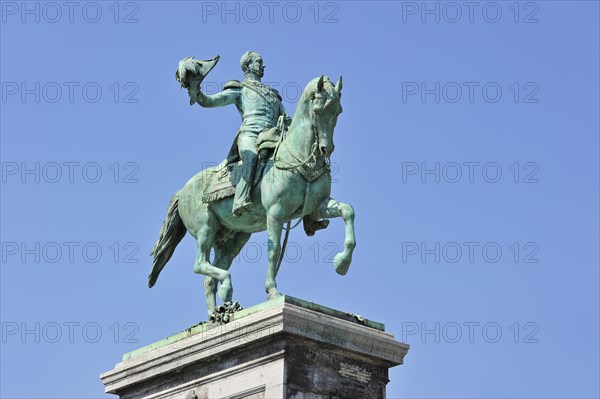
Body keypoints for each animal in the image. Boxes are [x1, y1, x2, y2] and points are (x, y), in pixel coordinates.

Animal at [149, 76, 354, 316]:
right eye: (319, 108)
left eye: (338, 110)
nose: (325, 149)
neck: (298, 156)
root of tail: (183, 191)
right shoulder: (275, 214)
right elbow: (273, 252)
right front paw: (273, 291)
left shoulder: (318, 206)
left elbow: (348, 211)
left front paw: (341, 263)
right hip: (205, 228)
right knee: (200, 264)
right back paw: (226, 290)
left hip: (233, 239)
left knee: (209, 279)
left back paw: (217, 313)